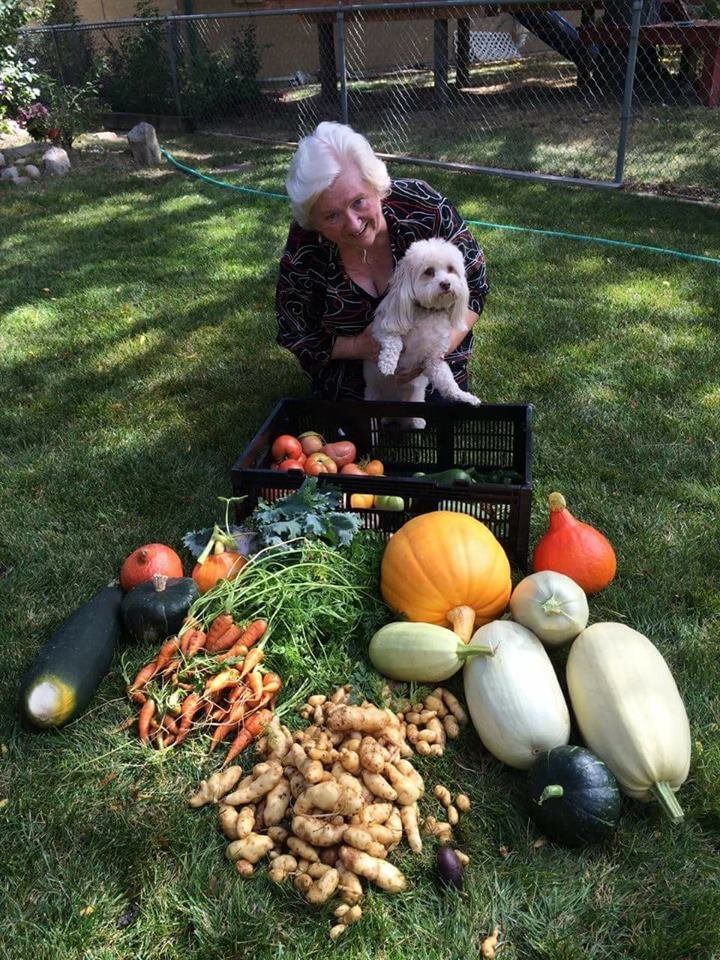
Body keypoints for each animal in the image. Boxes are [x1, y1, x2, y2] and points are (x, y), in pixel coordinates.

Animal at [362, 236, 480, 428]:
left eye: (451, 269)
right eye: (429, 271)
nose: (446, 284)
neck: (428, 312)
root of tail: (393, 414)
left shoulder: (433, 359)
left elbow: (447, 382)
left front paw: (465, 397)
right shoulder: (380, 329)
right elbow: (394, 342)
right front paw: (388, 364)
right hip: (372, 398)